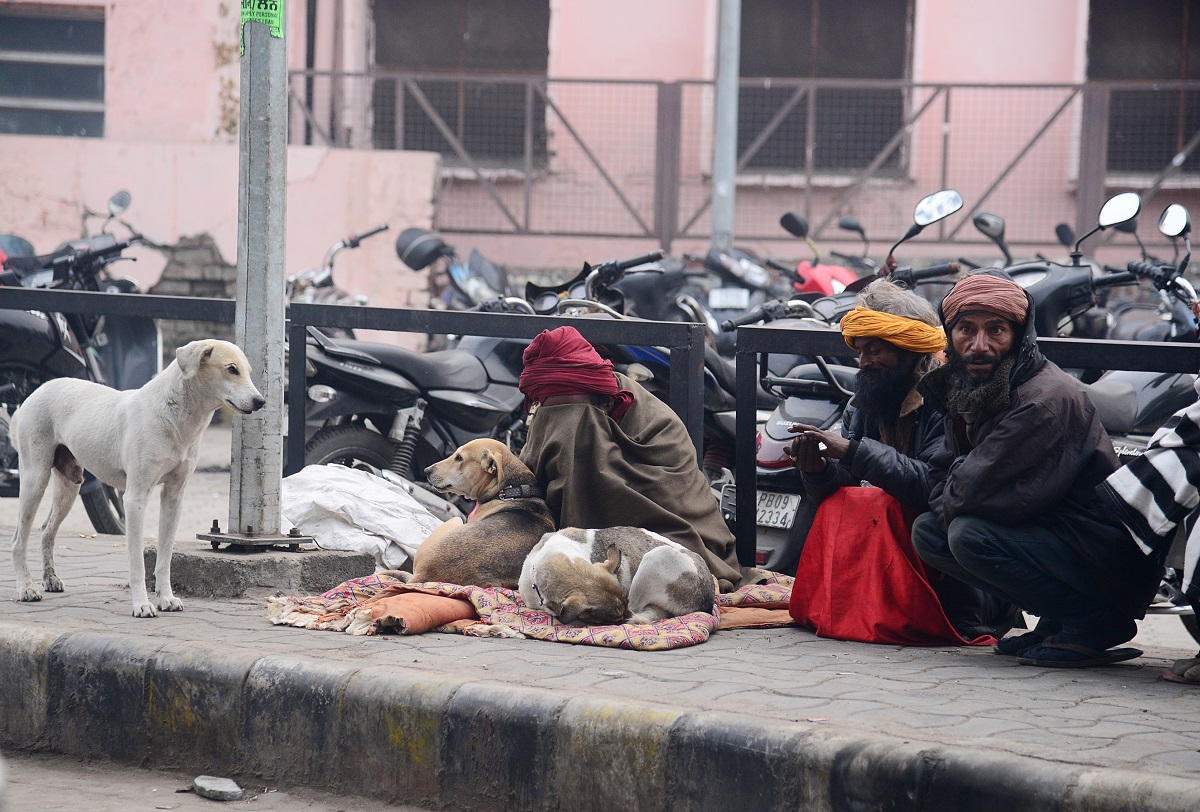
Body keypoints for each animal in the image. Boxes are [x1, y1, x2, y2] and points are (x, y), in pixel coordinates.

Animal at [9, 340, 265, 614]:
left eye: (249, 371)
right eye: (232, 369)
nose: (261, 401)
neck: (174, 416)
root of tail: (38, 390)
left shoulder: (174, 497)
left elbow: (165, 557)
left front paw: (166, 599)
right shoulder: (135, 499)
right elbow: (137, 562)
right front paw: (142, 604)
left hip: (69, 486)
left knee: (46, 531)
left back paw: (50, 579)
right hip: (35, 479)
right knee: (18, 540)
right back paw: (26, 588)